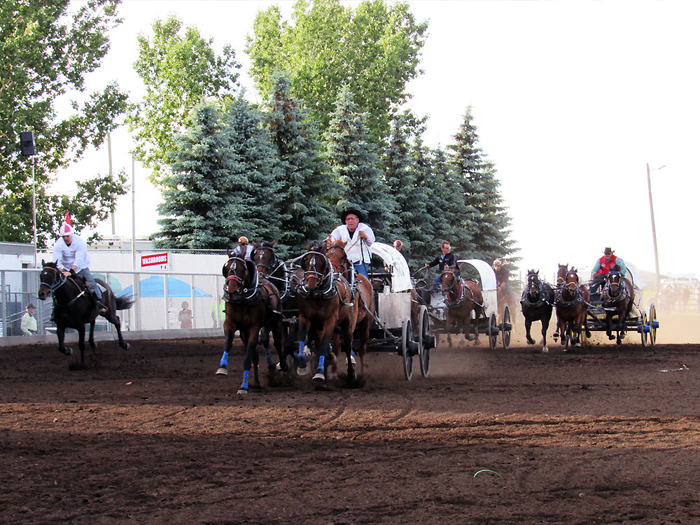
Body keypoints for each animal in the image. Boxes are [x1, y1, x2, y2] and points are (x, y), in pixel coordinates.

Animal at [217, 251, 286, 392]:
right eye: (226, 268)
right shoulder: (231, 323)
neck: (243, 299)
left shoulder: (255, 327)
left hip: (276, 321)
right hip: (245, 331)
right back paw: (256, 382)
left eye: (243, 269)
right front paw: (222, 367)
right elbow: (228, 343)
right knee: (256, 354)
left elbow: (248, 357)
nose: (232, 290)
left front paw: (243, 387)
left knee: (279, 342)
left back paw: (282, 365)